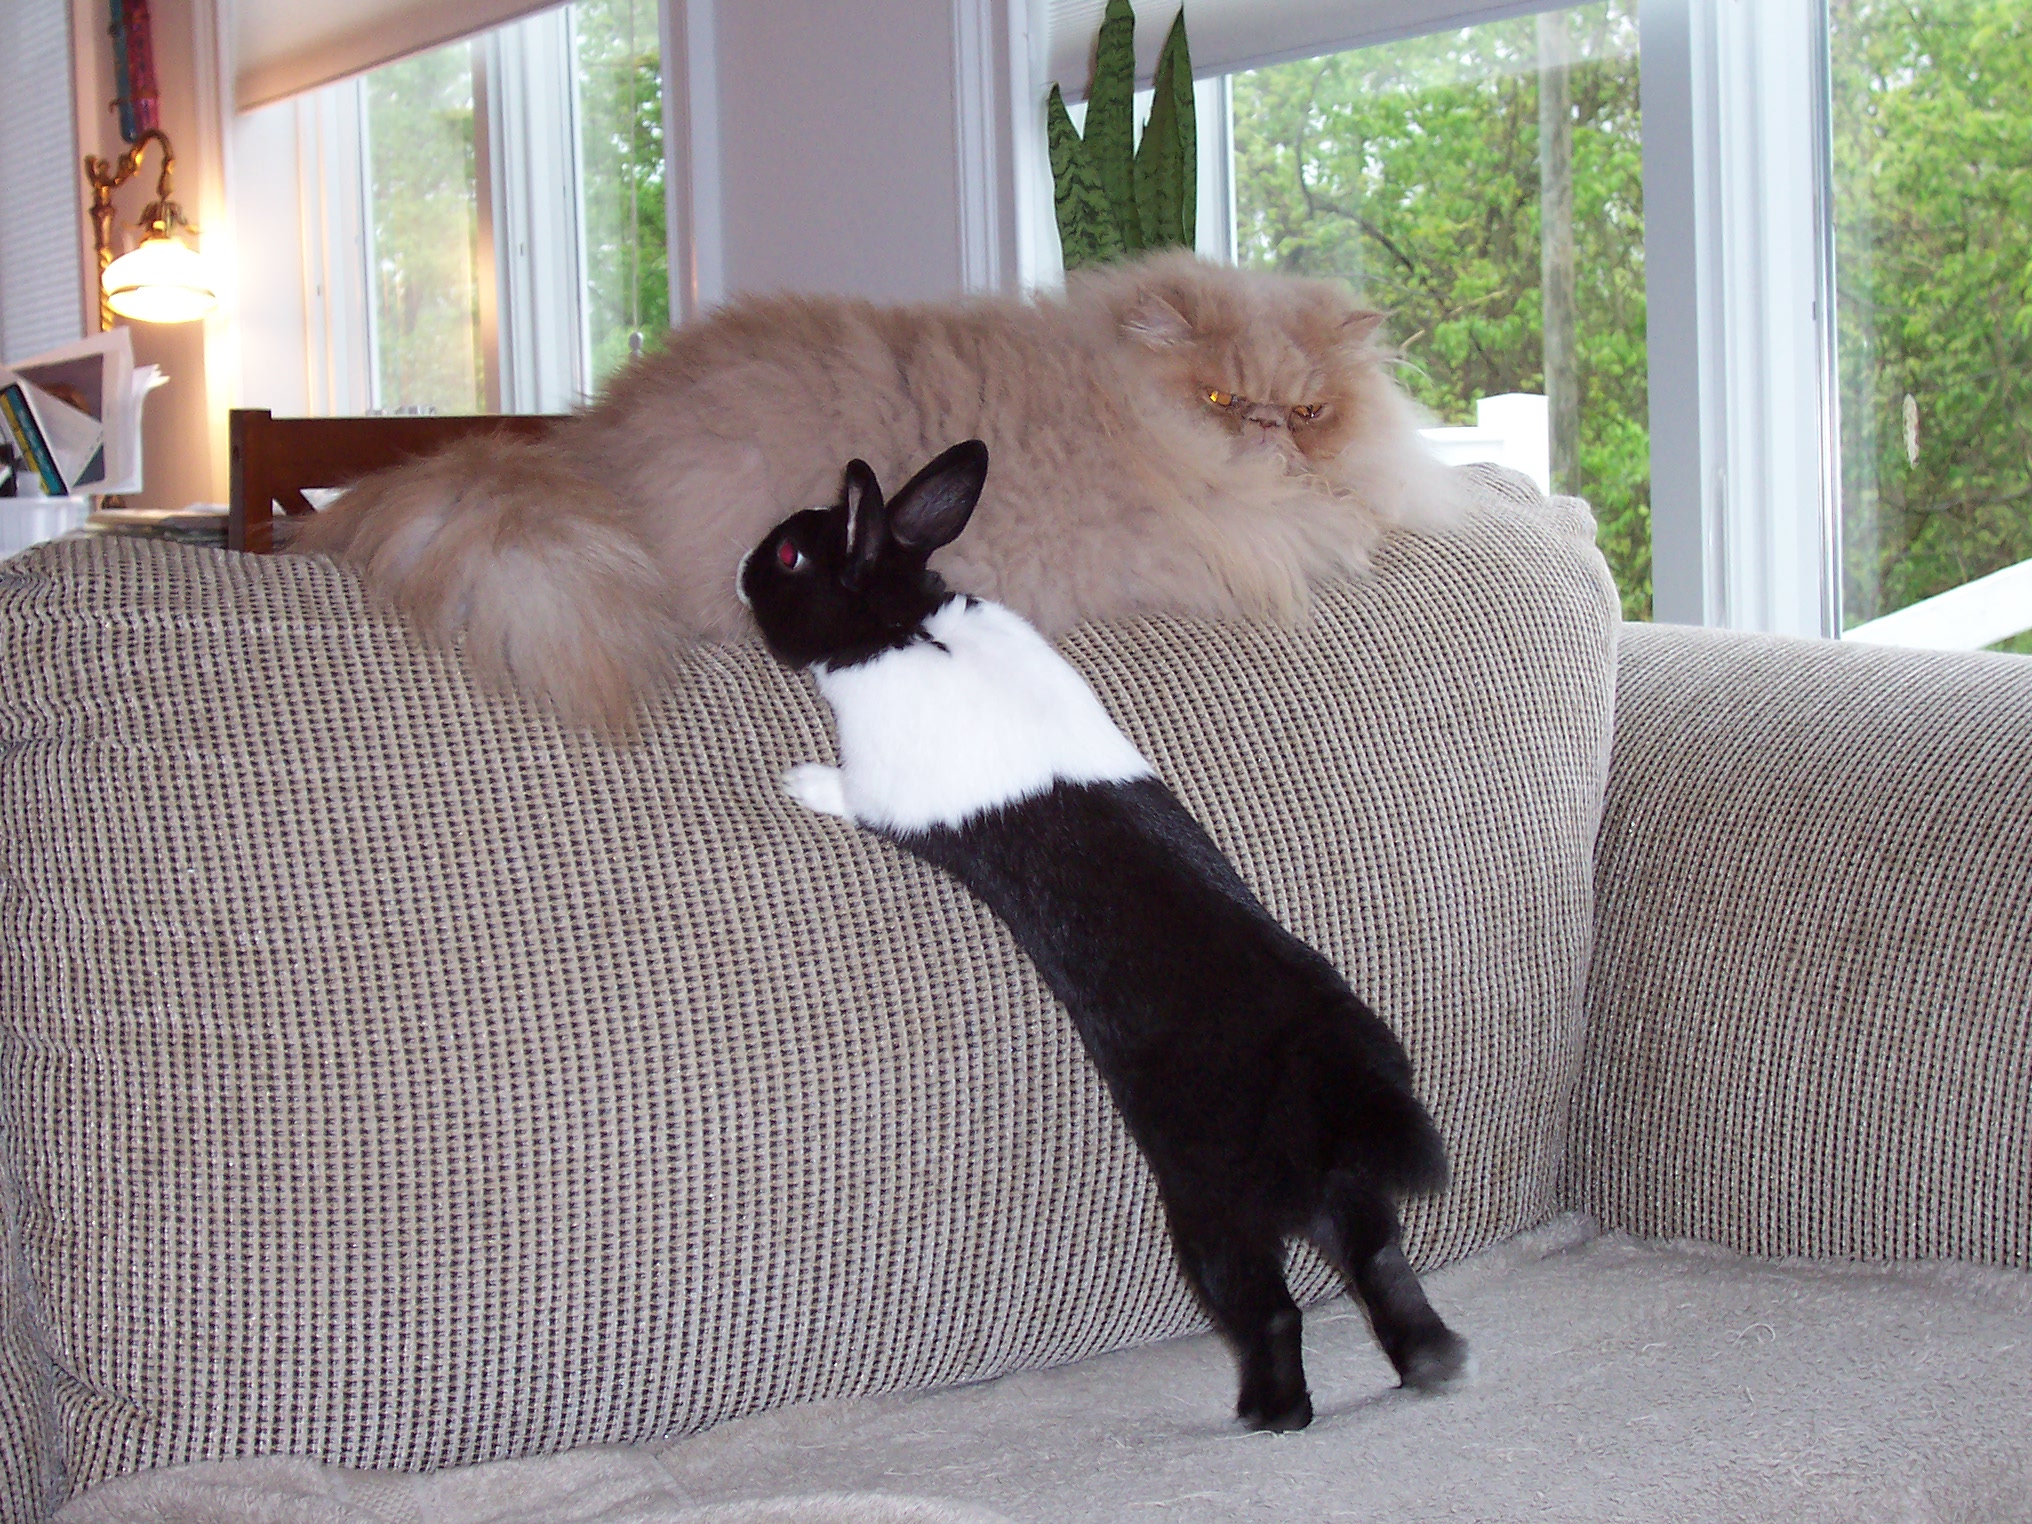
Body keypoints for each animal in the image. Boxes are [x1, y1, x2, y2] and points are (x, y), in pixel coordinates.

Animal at [738, 439, 1470, 1431]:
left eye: (789, 558)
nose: (741, 572)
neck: (902, 621)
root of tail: (1334, 1105)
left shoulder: (885, 793)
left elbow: (847, 796)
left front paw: (797, 780)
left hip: (1212, 1212)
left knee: (1270, 1312)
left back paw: (1263, 1416)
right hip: (1342, 1202)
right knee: (1384, 1266)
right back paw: (1435, 1367)